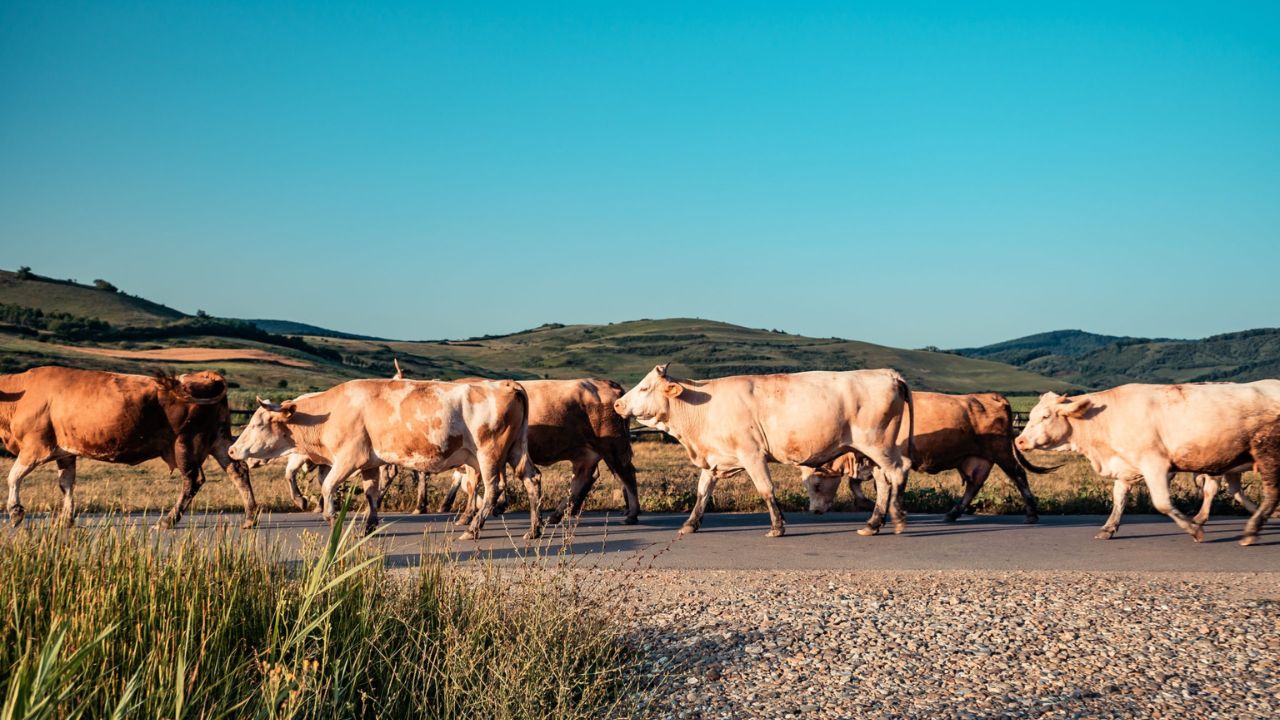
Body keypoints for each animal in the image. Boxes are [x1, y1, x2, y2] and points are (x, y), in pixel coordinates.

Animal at [0, 363, 257, 527]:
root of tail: (205, 376)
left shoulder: (35, 447)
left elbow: (13, 477)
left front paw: (15, 511)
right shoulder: (65, 452)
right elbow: (66, 484)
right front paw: (66, 519)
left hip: (187, 442)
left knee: (193, 480)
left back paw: (168, 520)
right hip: (218, 438)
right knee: (238, 471)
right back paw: (249, 517)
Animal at [227, 376, 532, 538]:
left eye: (257, 423)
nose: (231, 450)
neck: (330, 412)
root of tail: (506, 384)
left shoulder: (347, 458)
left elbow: (327, 487)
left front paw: (331, 518)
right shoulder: (369, 463)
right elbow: (371, 494)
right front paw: (369, 525)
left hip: (488, 455)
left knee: (492, 489)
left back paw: (474, 527)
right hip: (516, 450)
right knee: (532, 481)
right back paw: (535, 529)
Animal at [609, 366, 911, 535]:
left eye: (644, 387)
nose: (618, 404)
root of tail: (887, 374)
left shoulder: (752, 454)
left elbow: (766, 489)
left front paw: (777, 526)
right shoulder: (715, 460)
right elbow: (702, 493)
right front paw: (691, 524)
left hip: (878, 445)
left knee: (897, 473)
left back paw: (896, 518)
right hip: (872, 452)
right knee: (884, 482)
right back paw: (873, 523)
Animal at [803, 392, 1054, 520]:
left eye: (816, 484)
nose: (813, 511)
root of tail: (991, 396)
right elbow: (856, 483)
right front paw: (869, 503)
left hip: (1000, 450)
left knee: (1018, 475)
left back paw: (1032, 513)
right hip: (976, 457)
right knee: (974, 484)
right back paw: (953, 513)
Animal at [1018, 381, 1280, 543]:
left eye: (1045, 416)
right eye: (1031, 416)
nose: (1019, 441)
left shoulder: (1155, 465)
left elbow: (1162, 503)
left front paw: (1194, 530)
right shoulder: (1126, 466)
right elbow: (1119, 498)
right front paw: (1108, 528)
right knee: (1236, 490)